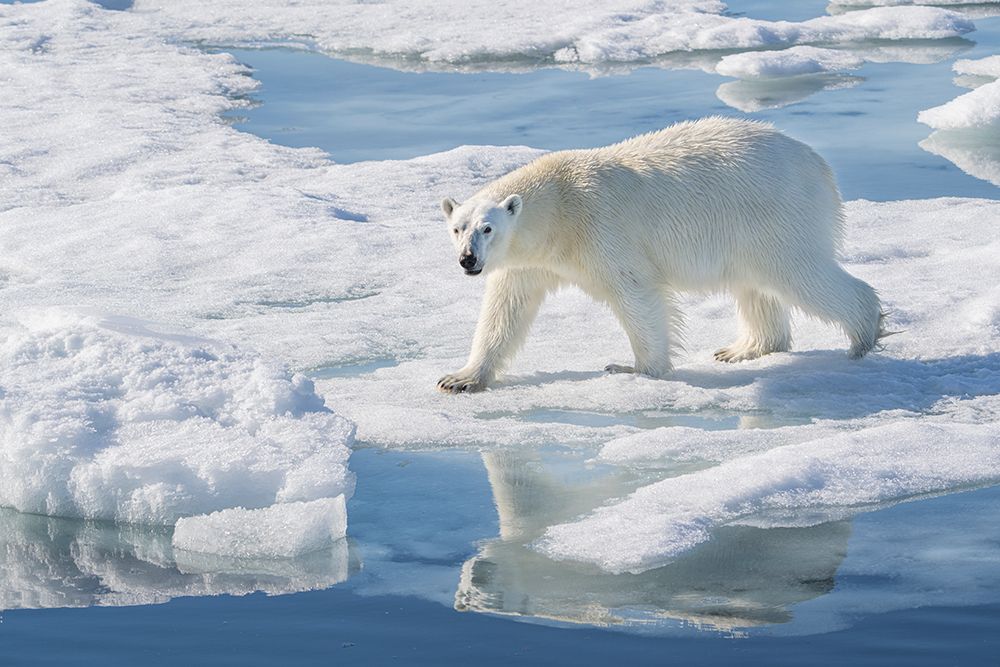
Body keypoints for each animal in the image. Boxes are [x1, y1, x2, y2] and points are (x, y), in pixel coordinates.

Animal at [438, 117, 885, 393]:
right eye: (458, 227)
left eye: (488, 228)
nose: (468, 260)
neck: (559, 207)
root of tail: (818, 164)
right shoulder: (530, 261)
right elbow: (505, 309)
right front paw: (460, 378)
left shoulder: (602, 231)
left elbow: (636, 293)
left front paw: (635, 368)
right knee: (755, 285)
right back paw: (742, 348)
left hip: (775, 213)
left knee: (799, 274)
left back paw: (862, 338)